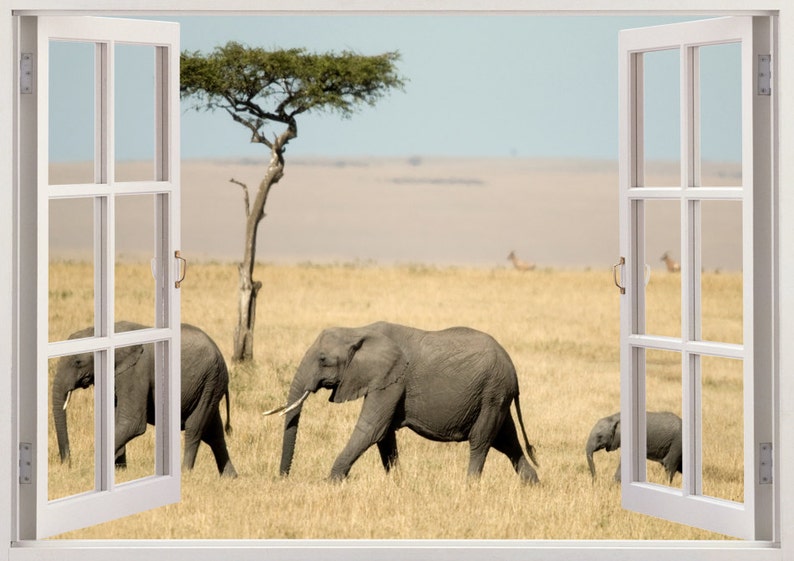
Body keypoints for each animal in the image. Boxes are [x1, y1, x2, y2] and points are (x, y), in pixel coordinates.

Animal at [52, 321, 238, 478]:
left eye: (78, 362)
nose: (67, 465)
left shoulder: (135, 373)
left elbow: (132, 423)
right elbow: (117, 421)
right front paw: (120, 471)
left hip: (210, 380)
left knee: (195, 428)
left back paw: (185, 473)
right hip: (210, 384)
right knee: (213, 432)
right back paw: (230, 477)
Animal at [264, 321, 540, 483]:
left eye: (323, 360)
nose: (282, 479)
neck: (357, 329)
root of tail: (512, 369)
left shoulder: (392, 380)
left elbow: (371, 429)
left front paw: (330, 482)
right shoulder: (384, 381)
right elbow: (384, 436)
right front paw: (397, 483)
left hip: (492, 392)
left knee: (481, 441)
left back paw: (469, 486)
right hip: (496, 395)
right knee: (507, 442)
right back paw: (533, 485)